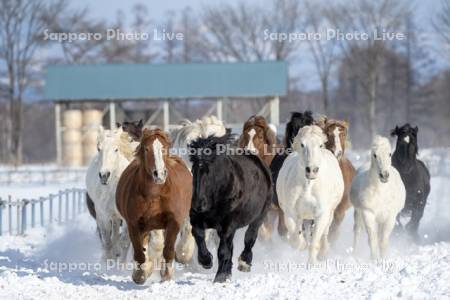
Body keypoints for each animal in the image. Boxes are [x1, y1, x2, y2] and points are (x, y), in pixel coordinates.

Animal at [85, 126, 133, 260]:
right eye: (98, 148)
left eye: (116, 149)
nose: (104, 175)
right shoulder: (103, 216)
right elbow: (107, 243)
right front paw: (108, 260)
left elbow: (124, 242)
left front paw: (121, 264)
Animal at [116, 129, 192, 284]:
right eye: (146, 149)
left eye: (164, 148)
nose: (159, 174)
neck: (155, 194)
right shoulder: (133, 223)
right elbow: (139, 251)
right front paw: (140, 275)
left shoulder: (173, 221)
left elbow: (168, 250)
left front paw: (166, 275)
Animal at [189, 135, 272, 282]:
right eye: (193, 170)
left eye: (210, 171)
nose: (198, 204)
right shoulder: (197, 219)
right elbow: (199, 236)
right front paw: (206, 261)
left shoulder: (229, 224)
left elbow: (223, 251)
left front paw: (220, 277)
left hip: (260, 215)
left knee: (250, 236)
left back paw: (244, 263)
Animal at [276, 125, 342, 264]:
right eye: (302, 144)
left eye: (320, 145)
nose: (312, 170)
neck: (308, 186)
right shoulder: (290, 213)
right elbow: (295, 238)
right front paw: (302, 245)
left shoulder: (322, 215)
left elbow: (315, 241)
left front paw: (312, 263)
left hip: (330, 213)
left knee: (324, 233)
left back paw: (323, 252)